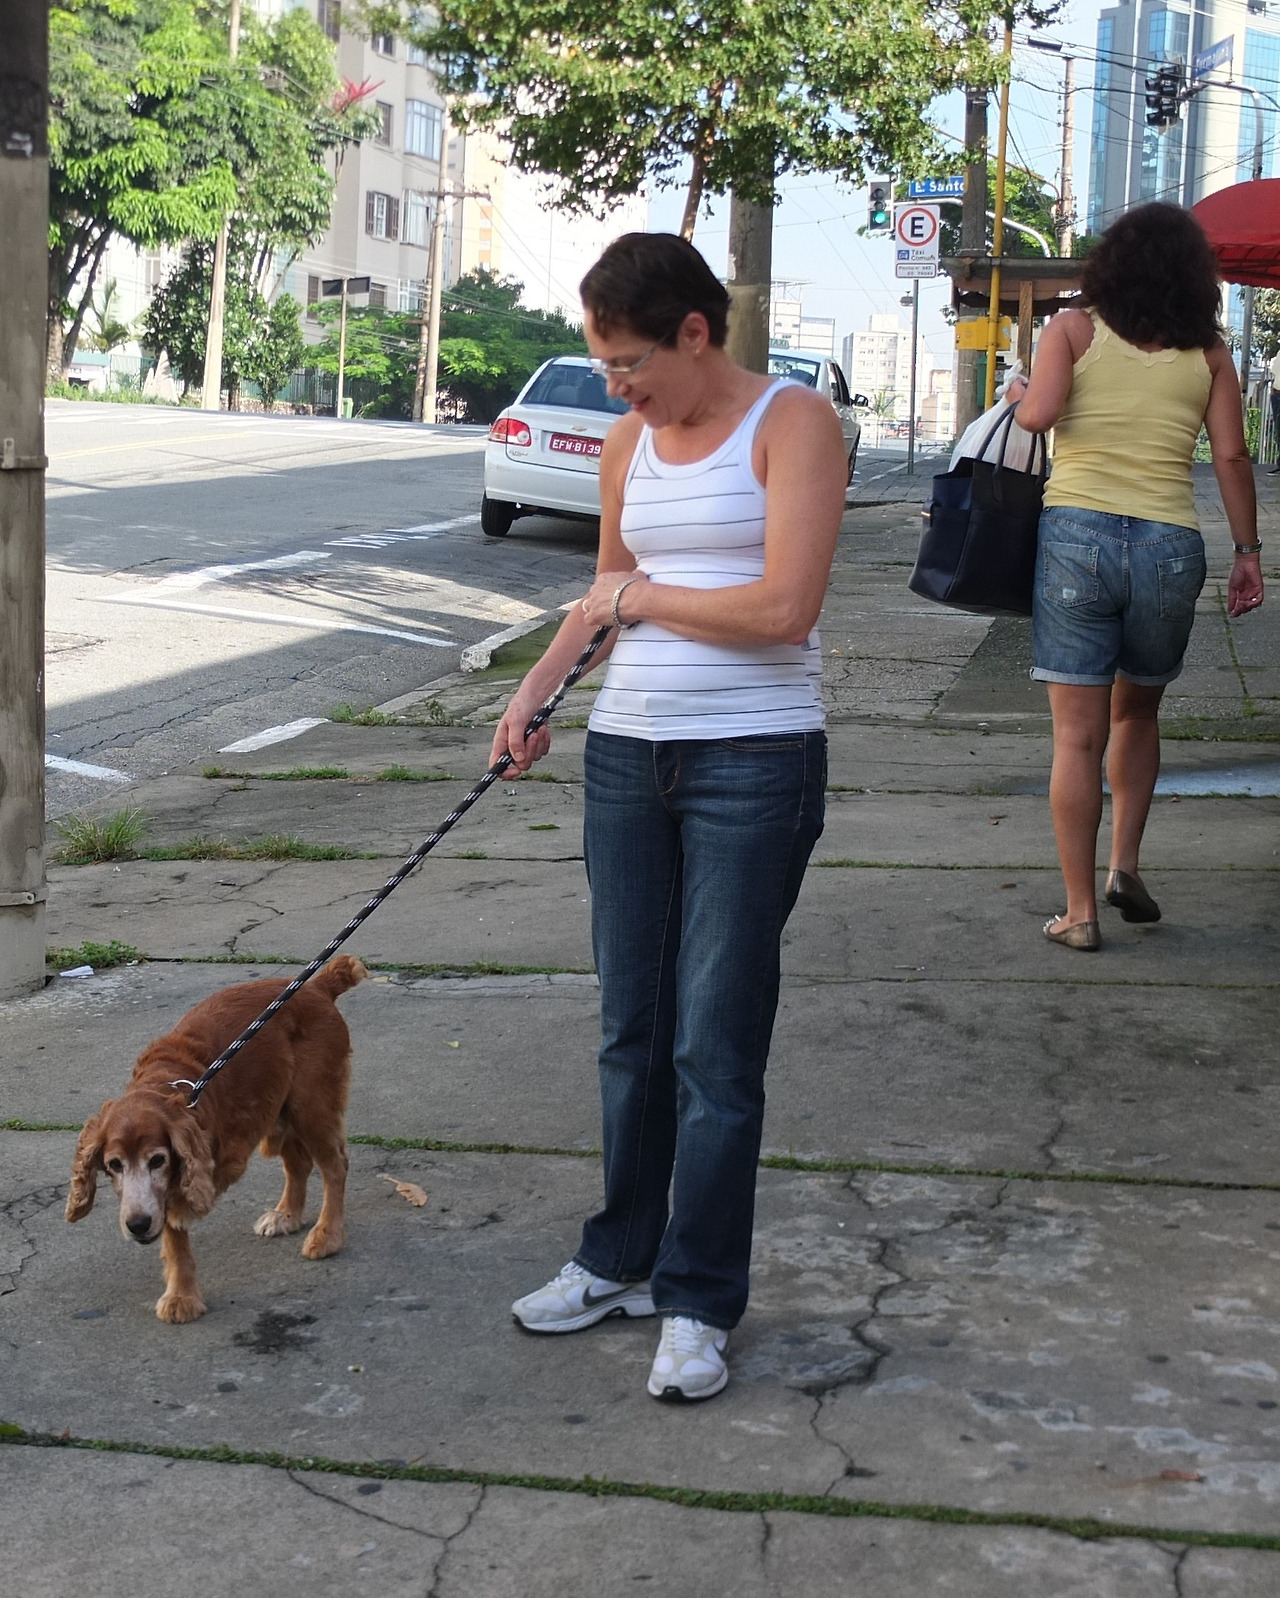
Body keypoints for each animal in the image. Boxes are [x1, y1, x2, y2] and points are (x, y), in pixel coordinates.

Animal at [66, 955, 367, 1323]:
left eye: (157, 1160)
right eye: (113, 1165)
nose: (137, 1225)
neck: (163, 1085)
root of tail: (318, 986)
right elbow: (175, 1240)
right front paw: (181, 1296)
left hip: (311, 1105)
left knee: (335, 1165)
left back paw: (327, 1235)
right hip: (277, 1107)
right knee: (298, 1162)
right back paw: (286, 1216)